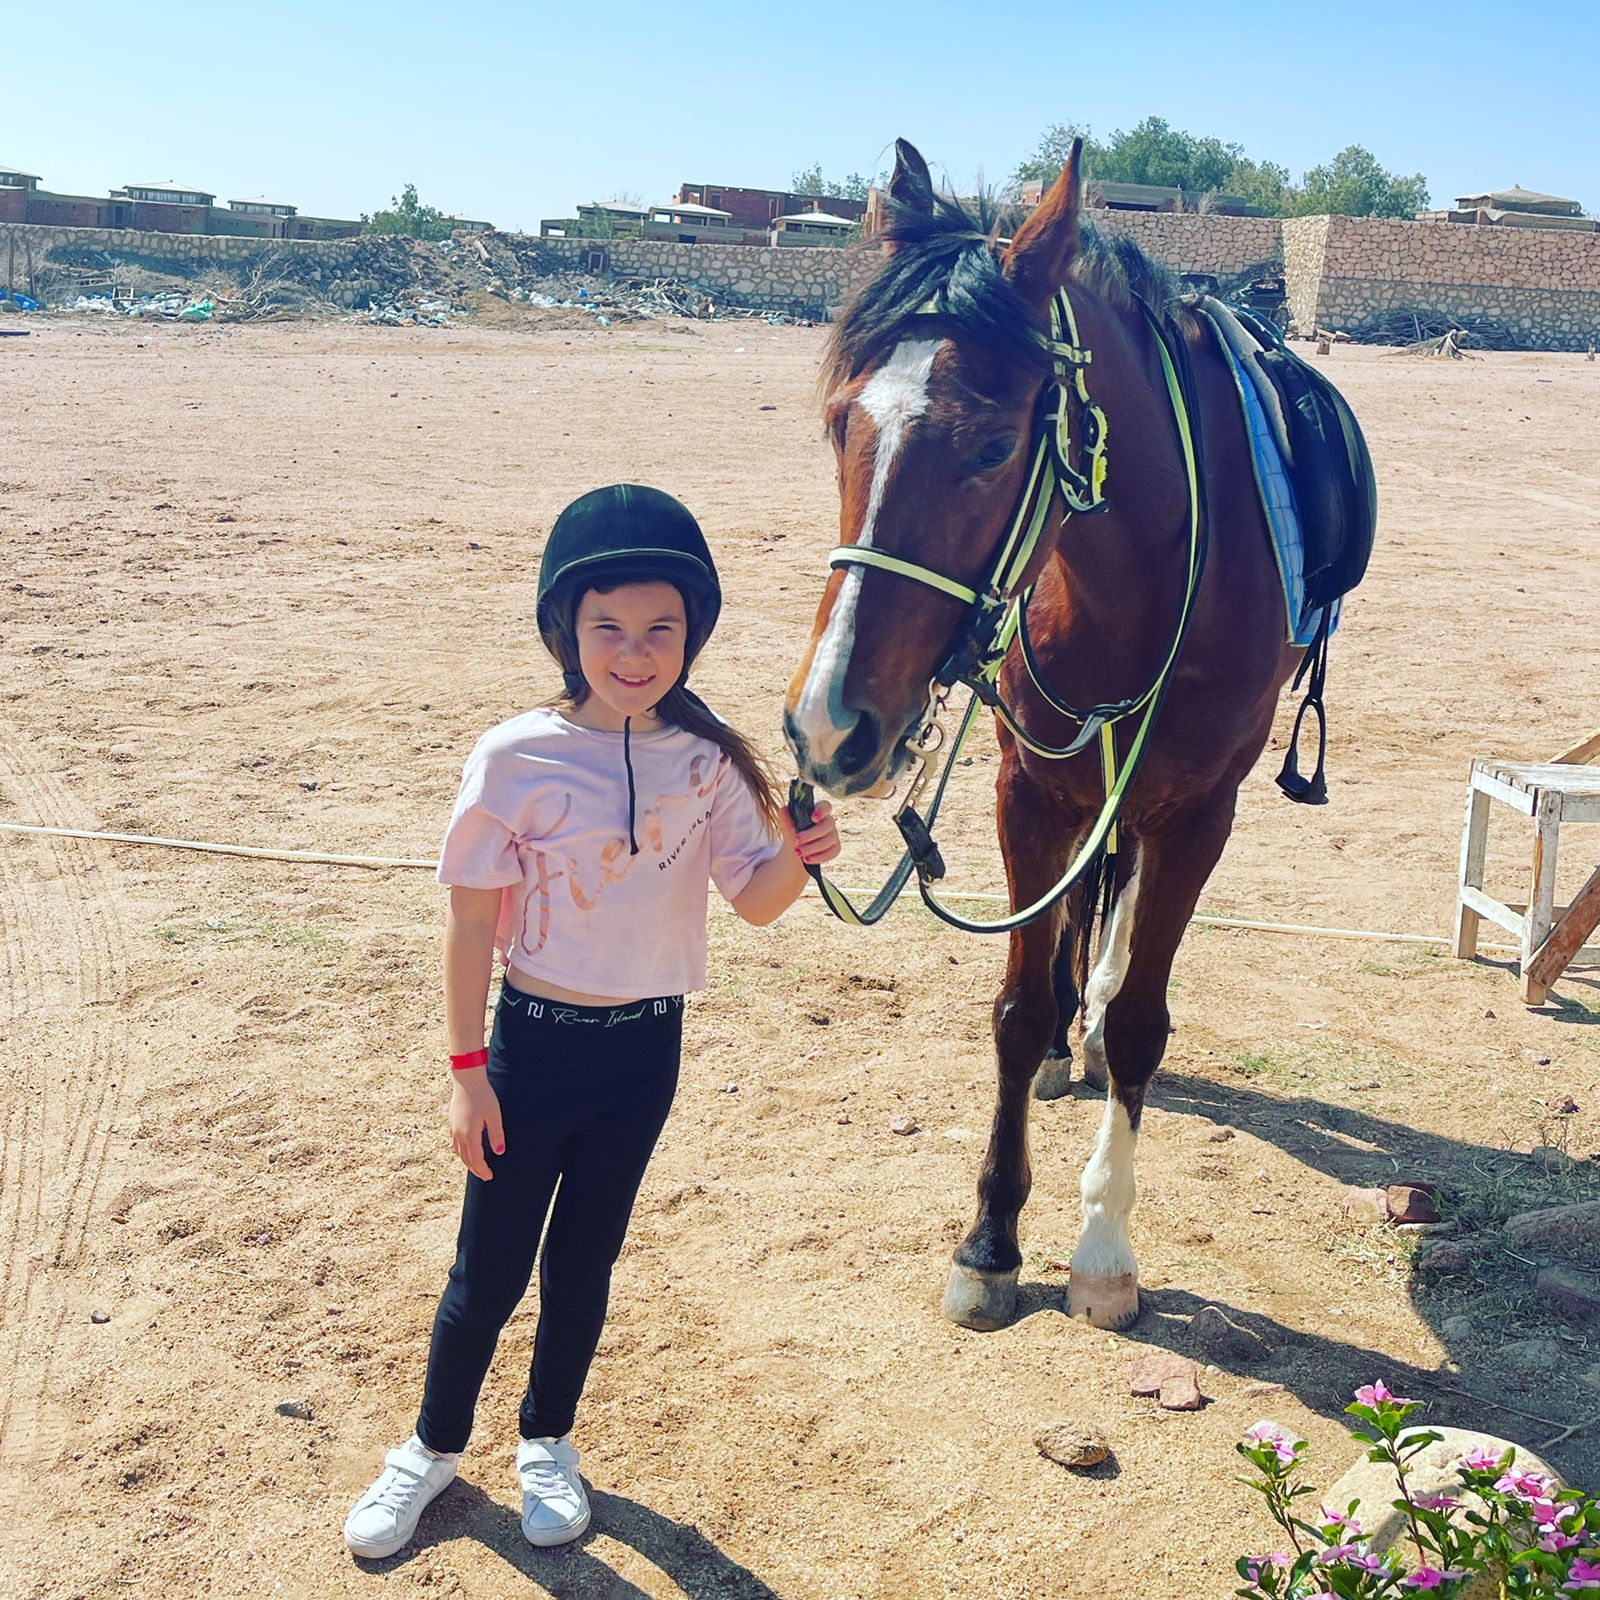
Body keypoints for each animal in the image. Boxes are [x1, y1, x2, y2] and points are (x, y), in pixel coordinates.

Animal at [784, 137, 1324, 1334]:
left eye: (993, 446)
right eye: (840, 422)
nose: (828, 723)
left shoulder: (1199, 813)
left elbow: (1140, 1026)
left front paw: (1102, 1249)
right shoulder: (1027, 792)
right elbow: (1018, 1006)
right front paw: (990, 1239)